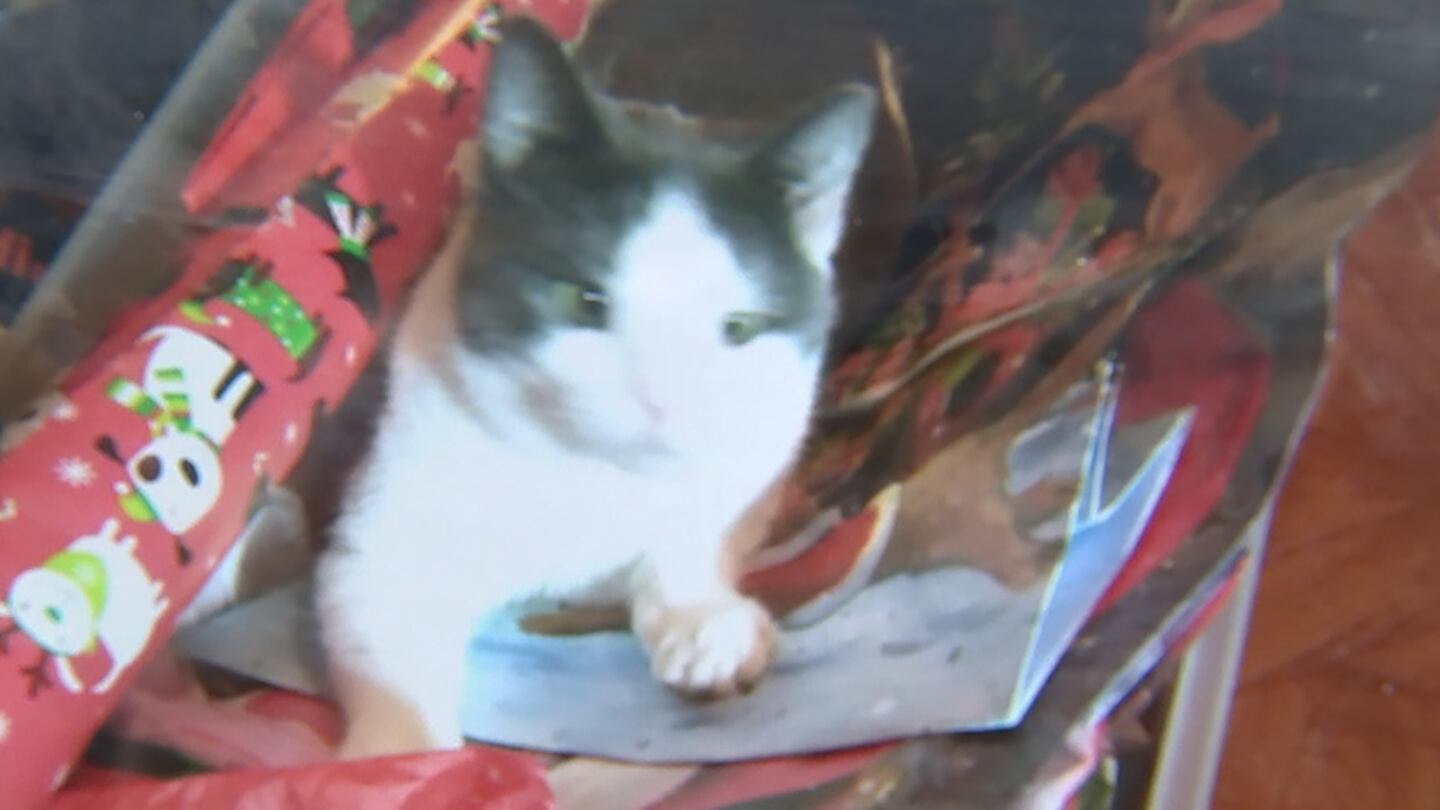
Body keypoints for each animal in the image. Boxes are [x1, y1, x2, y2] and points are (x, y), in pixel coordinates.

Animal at [315, 16, 876, 758]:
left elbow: (713, 513)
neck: (587, 476)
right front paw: (402, 764)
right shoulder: (386, 510)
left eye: (739, 327)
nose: (664, 401)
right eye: (584, 301)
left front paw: (701, 618)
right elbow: (378, 622)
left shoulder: (772, 434)